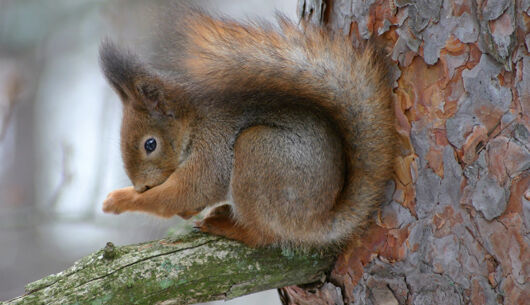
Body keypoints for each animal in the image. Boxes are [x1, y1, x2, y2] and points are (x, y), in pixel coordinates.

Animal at [99, 9, 394, 248]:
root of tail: (319, 221)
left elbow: (186, 192)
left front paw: (120, 200)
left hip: (258, 153)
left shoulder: (213, 147)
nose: (142, 186)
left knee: (262, 236)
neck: (194, 123)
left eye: (150, 144)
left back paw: (225, 226)